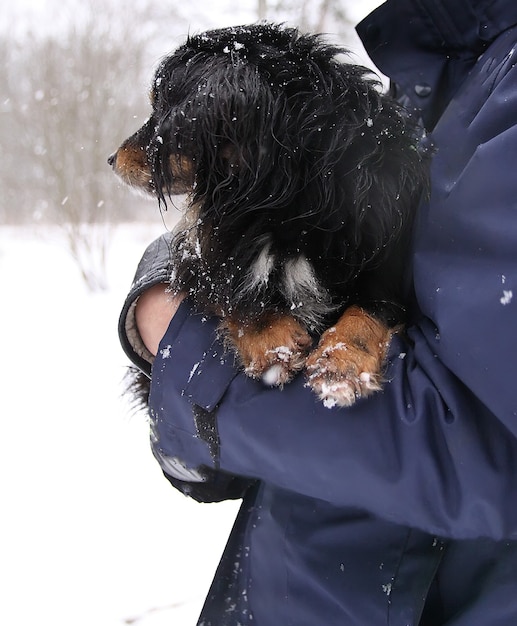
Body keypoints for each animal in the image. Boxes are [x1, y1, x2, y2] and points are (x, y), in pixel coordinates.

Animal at [111, 22, 430, 408]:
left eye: (161, 110)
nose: (111, 159)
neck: (283, 207)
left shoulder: (385, 265)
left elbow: (367, 312)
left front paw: (341, 363)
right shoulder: (204, 255)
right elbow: (233, 290)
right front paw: (274, 344)